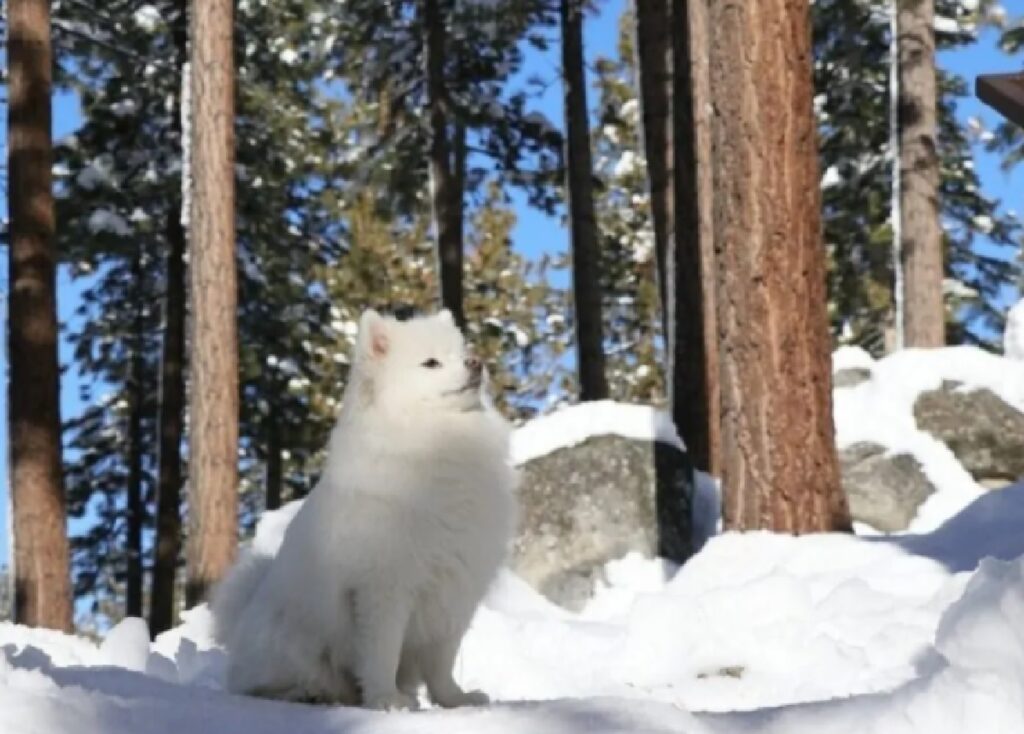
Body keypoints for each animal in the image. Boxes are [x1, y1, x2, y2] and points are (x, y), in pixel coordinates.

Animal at [217, 309, 520, 708]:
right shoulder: (383, 590)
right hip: (293, 643)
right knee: (265, 685)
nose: (476, 363)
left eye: (461, 353)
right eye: (431, 363)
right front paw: (387, 701)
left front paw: (454, 700)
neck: (439, 445)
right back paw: (310, 694)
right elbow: (382, 655)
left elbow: (442, 660)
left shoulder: (456, 587)